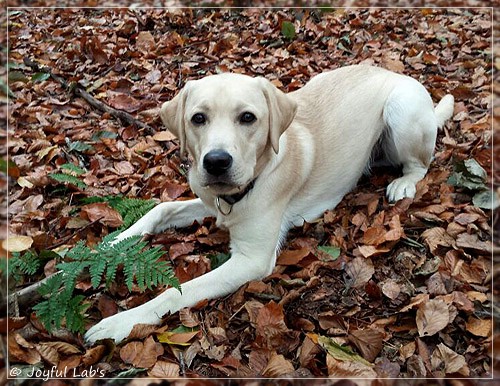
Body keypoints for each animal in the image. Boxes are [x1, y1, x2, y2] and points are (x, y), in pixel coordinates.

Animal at [85, 64, 454, 344]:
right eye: (198, 118)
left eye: (248, 118)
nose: (216, 162)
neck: (248, 184)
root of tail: (395, 73)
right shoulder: (211, 200)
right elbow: (160, 208)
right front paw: (110, 243)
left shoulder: (252, 259)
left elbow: (177, 292)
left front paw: (118, 323)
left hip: (402, 111)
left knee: (420, 164)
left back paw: (403, 182)